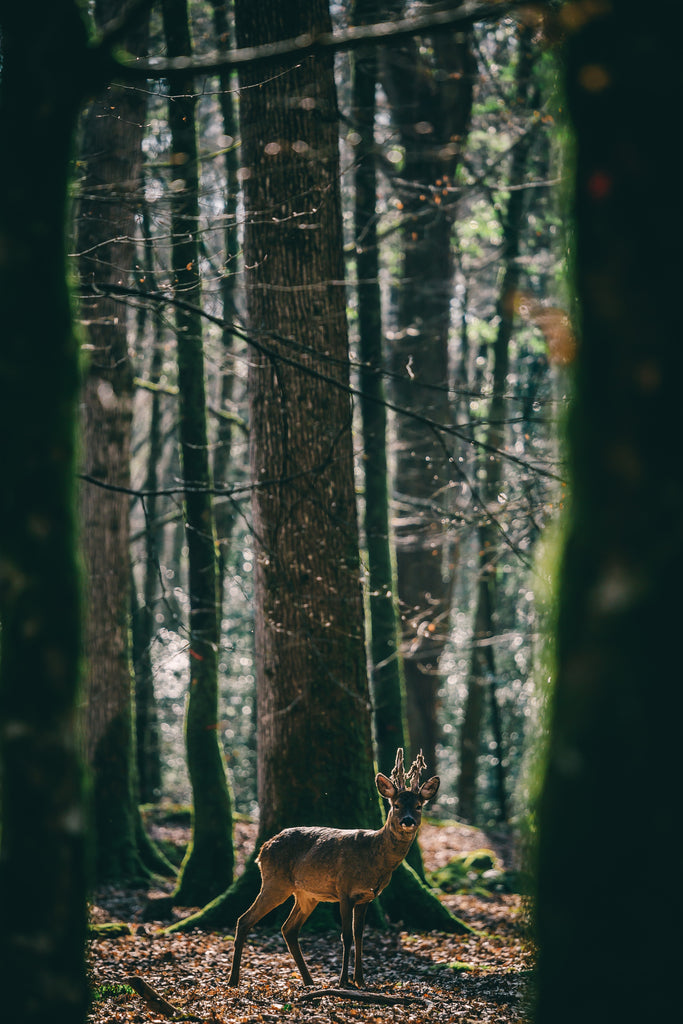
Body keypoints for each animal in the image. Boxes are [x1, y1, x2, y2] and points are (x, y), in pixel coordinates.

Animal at [227, 749, 440, 987]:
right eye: (396, 805)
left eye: (419, 806)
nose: (408, 820)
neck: (375, 858)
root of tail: (262, 849)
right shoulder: (344, 889)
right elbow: (345, 936)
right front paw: (343, 981)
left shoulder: (367, 897)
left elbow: (359, 936)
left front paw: (360, 980)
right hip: (275, 883)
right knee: (244, 920)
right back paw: (233, 980)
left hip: (306, 895)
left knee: (288, 929)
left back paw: (309, 981)